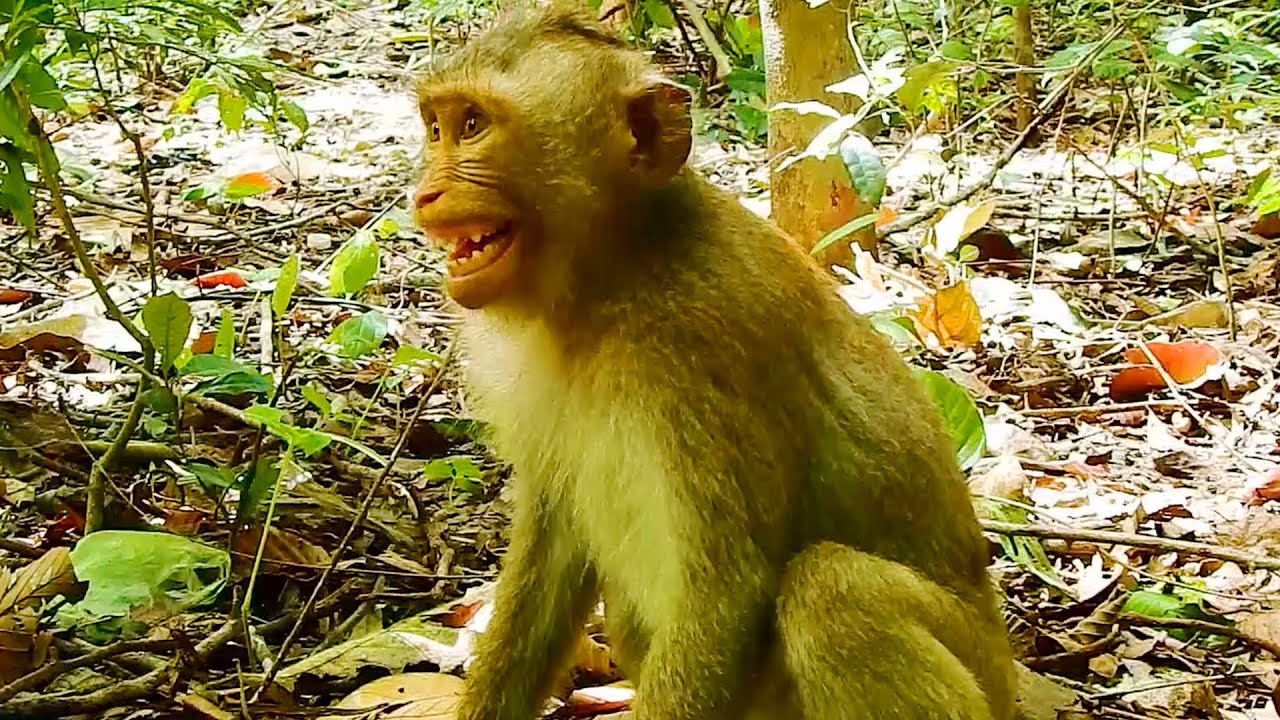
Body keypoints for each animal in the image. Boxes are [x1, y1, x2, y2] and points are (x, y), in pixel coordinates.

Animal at [411, 6, 1017, 720]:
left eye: (473, 126)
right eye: (437, 128)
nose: (425, 193)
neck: (611, 281)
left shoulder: (702, 345)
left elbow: (723, 594)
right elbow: (552, 553)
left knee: (833, 591)